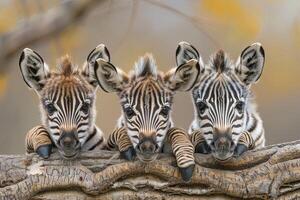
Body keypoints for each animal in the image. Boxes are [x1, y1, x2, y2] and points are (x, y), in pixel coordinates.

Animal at [91, 44, 199, 181]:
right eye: (129, 111)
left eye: (165, 110)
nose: (147, 147)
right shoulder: (106, 147)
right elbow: (116, 132)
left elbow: (176, 130)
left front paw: (186, 158)